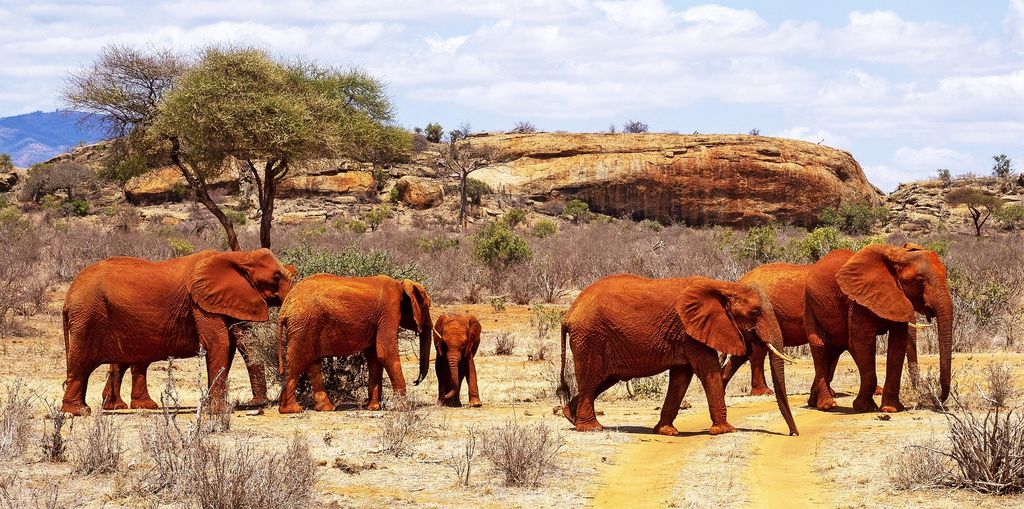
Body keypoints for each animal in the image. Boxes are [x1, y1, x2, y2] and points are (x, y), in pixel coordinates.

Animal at [61, 248, 294, 416]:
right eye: (276, 276)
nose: (258, 403)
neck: (238, 256)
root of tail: (69, 295)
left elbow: (233, 344)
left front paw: (210, 408)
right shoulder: (200, 304)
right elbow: (220, 344)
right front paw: (218, 412)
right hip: (88, 316)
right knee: (81, 363)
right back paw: (78, 412)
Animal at [276, 274, 433, 414]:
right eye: (426, 306)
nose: (415, 382)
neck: (400, 284)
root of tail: (284, 307)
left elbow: (374, 358)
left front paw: (373, 407)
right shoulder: (389, 311)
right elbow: (385, 353)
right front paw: (403, 408)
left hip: (306, 325)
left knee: (312, 364)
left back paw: (325, 408)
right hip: (303, 323)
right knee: (297, 361)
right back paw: (292, 410)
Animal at [557, 274, 799, 436]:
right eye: (755, 313)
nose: (793, 434)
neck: (725, 286)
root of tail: (569, 313)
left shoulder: (686, 334)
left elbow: (681, 377)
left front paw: (666, 431)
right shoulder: (690, 331)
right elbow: (707, 370)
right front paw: (725, 430)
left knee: (604, 380)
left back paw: (570, 416)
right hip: (590, 337)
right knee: (591, 380)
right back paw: (591, 428)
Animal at [726, 243, 951, 413]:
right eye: (920, 281)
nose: (937, 399)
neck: (894, 254)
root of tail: (739, 281)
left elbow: (896, 344)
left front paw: (891, 408)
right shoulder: (856, 302)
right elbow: (859, 343)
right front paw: (864, 406)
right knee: (774, 350)